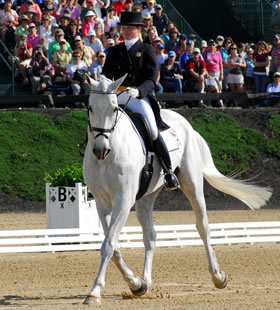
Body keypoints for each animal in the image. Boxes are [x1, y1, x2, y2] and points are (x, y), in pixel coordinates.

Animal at [82, 75, 272, 306]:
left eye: (114, 108)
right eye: (90, 107)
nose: (101, 150)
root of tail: (185, 124)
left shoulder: (123, 200)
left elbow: (109, 245)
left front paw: (94, 292)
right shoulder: (102, 203)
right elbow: (114, 246)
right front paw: (135, 284)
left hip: (192, 185)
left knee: (203, 227)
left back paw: (218, 277)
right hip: (146, 197)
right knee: (150, 235)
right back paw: (145, 281)